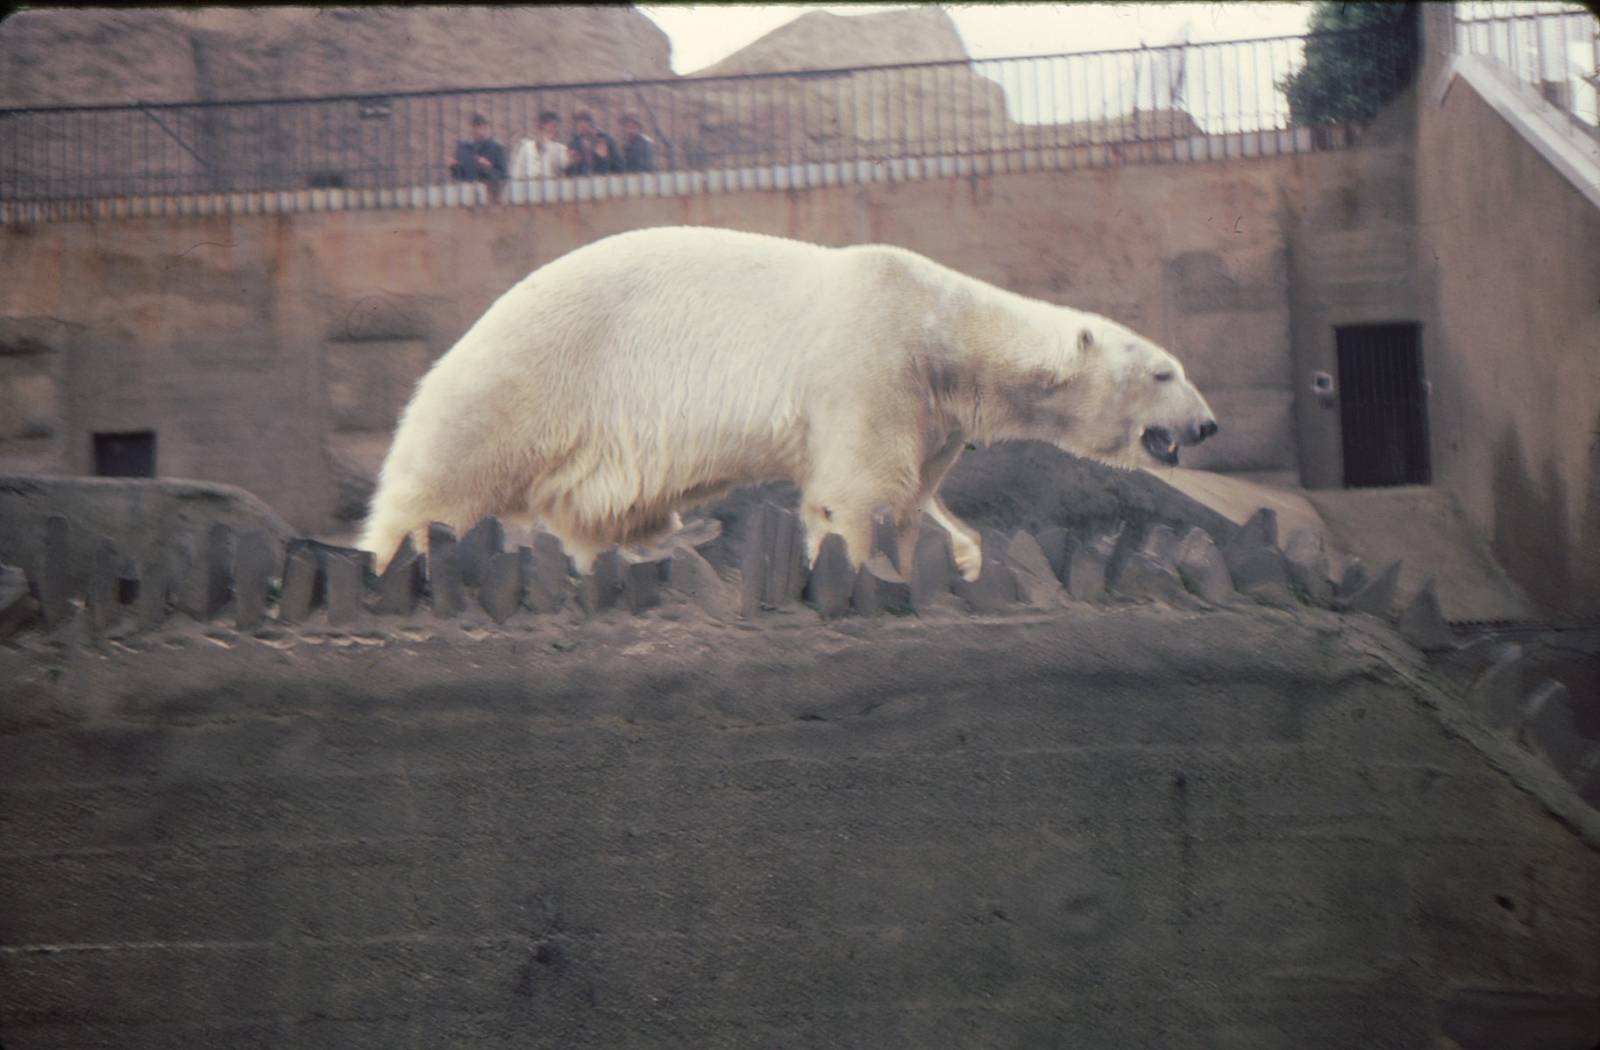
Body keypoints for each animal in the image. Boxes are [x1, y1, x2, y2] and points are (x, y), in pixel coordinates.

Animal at [359, 225, 1218, 582]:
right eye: (1165, 373)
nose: (1207, 424)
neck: (942, 328)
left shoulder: (928, 405)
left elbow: (914, 492)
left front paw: (951, 555)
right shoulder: (871, 359)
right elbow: (858, 487)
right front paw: (861, 567)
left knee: (602, 510)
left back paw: (663, 544)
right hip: (530, 379)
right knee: (445, 479)